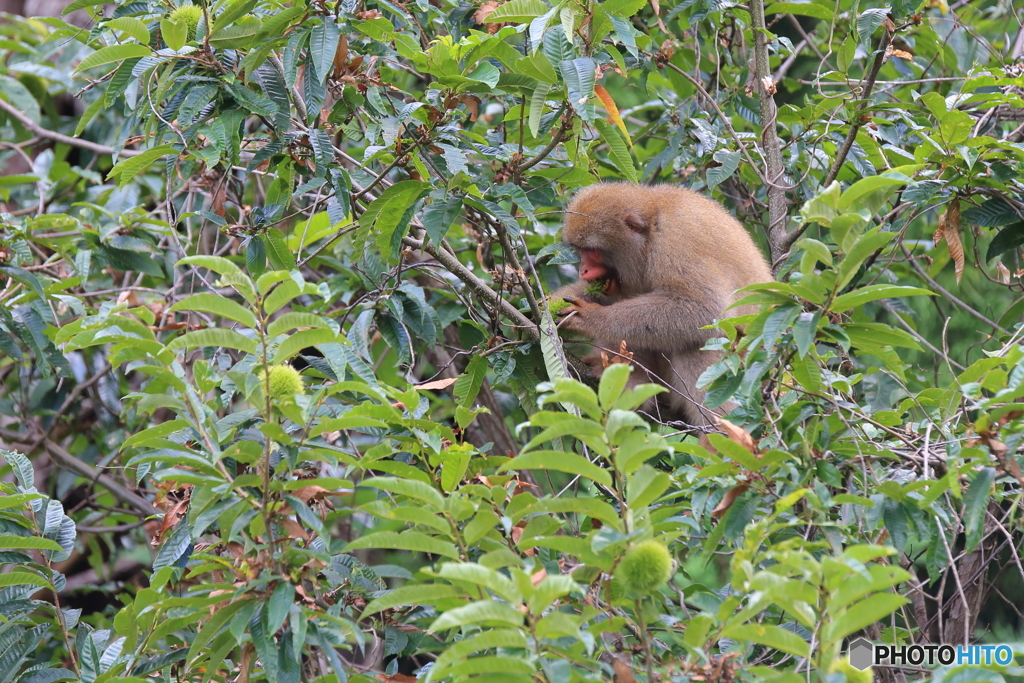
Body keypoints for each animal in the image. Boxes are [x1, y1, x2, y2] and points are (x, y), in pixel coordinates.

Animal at [548, 181, 770, 428]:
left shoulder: (676, 240)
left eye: (593, 251)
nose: (583, 270)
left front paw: (591, 317)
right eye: (581, 251)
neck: (652, 226)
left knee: (699, 340)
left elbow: (704, 309)